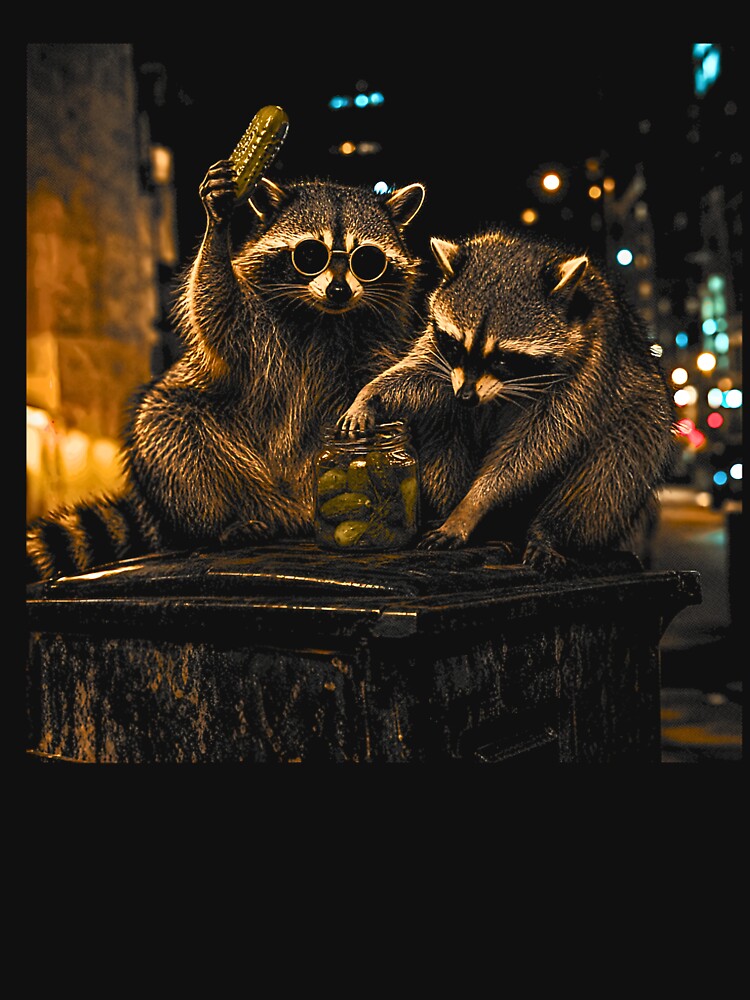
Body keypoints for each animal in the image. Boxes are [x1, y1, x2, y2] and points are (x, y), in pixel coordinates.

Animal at [27, 165, 426, 582]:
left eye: (368, 260)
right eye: (309, 254)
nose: (338, 290)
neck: (323, 316)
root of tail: (291, 512)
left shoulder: (375, 337)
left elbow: (384, 378)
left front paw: (369, 410)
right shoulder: (256, 328)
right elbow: (217, 308)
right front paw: (217, 225)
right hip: (196, 435)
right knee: (168, 431)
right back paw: (218, 524)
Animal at [338, 227, 677, 573]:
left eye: (502, 359)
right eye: (455, 346)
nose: (466, 396)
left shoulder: (588, 367)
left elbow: (540, 444)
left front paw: (473, 504)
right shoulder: (440, 352)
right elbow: (424, 375)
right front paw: (370, 394)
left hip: (641, 414)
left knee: (611, 472)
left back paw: (548, 531)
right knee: (443, 424)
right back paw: (452, 508)